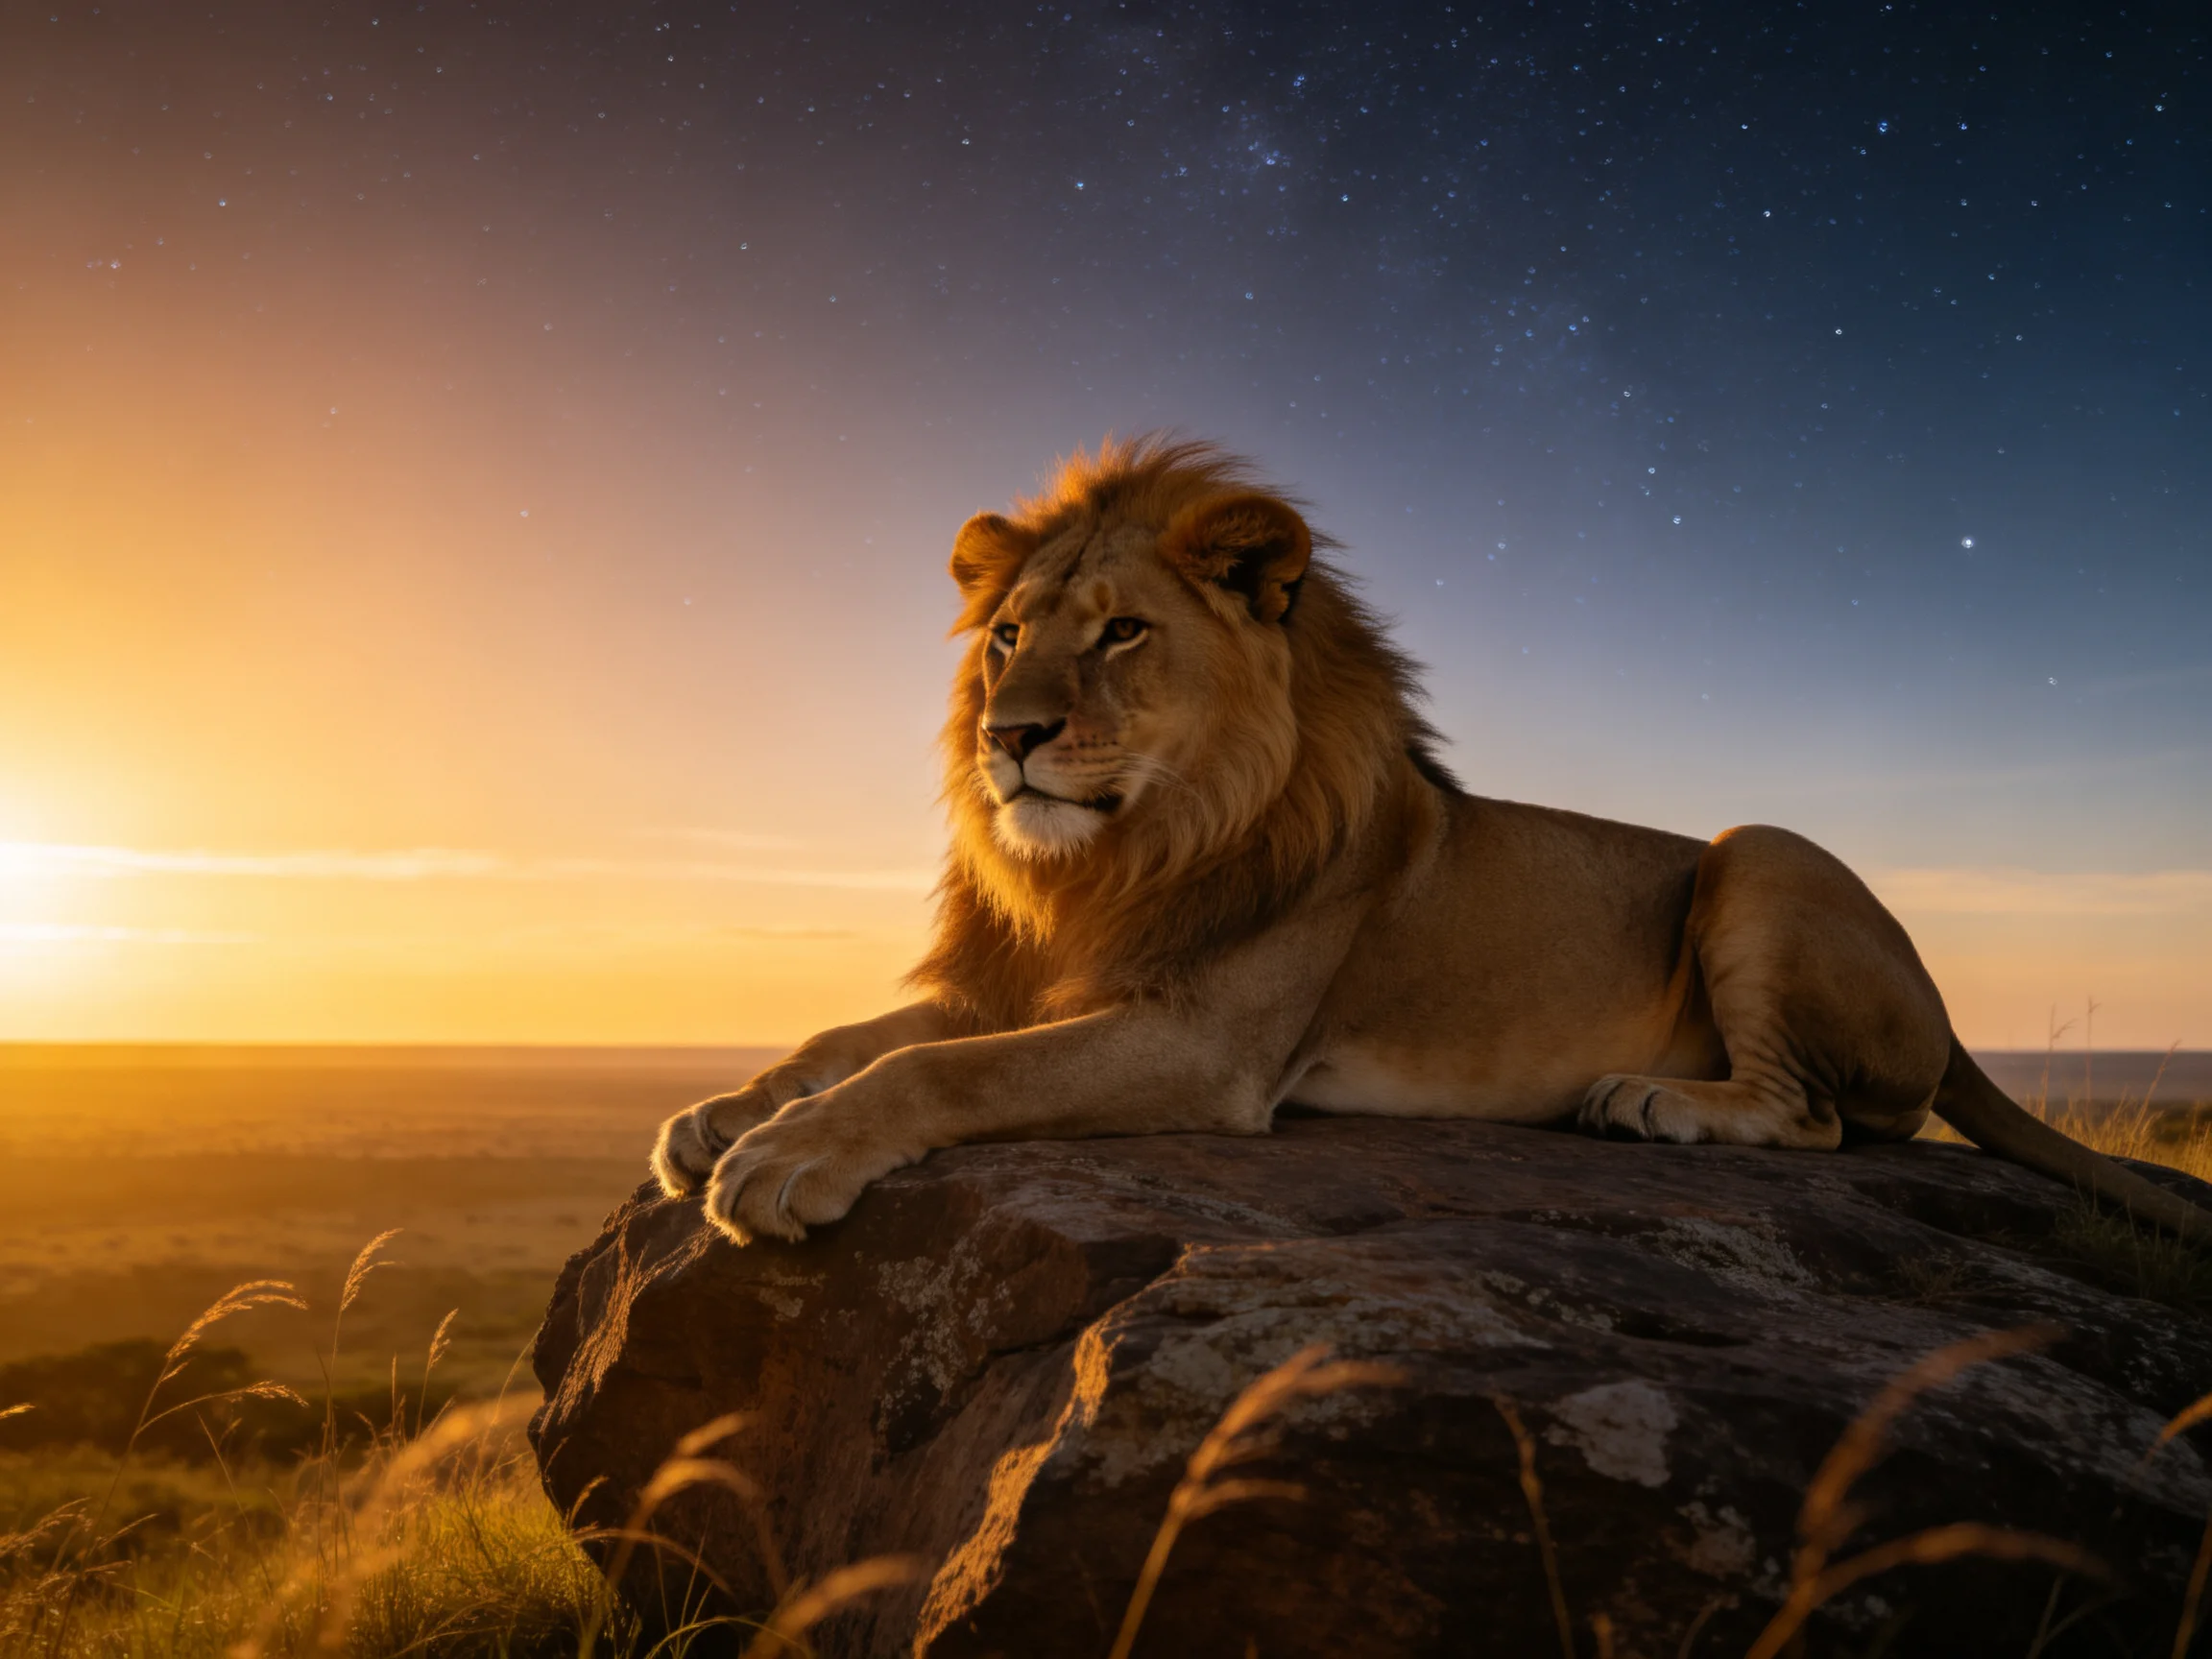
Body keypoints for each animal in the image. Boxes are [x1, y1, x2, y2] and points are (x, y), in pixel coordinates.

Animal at [654, 436, 2211, 1249]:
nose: (1009, 735)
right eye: (1006, 637)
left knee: (1823, 1118)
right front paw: (726, 1112)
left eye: (1123, 633)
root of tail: (1941, 1003)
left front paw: (783, 1161)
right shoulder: (1021, 976)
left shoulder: (1204, 1043)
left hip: (1759, 847)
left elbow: (936, 1070)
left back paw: (1653, 1102)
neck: (1118, 854)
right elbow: (847, 1036)